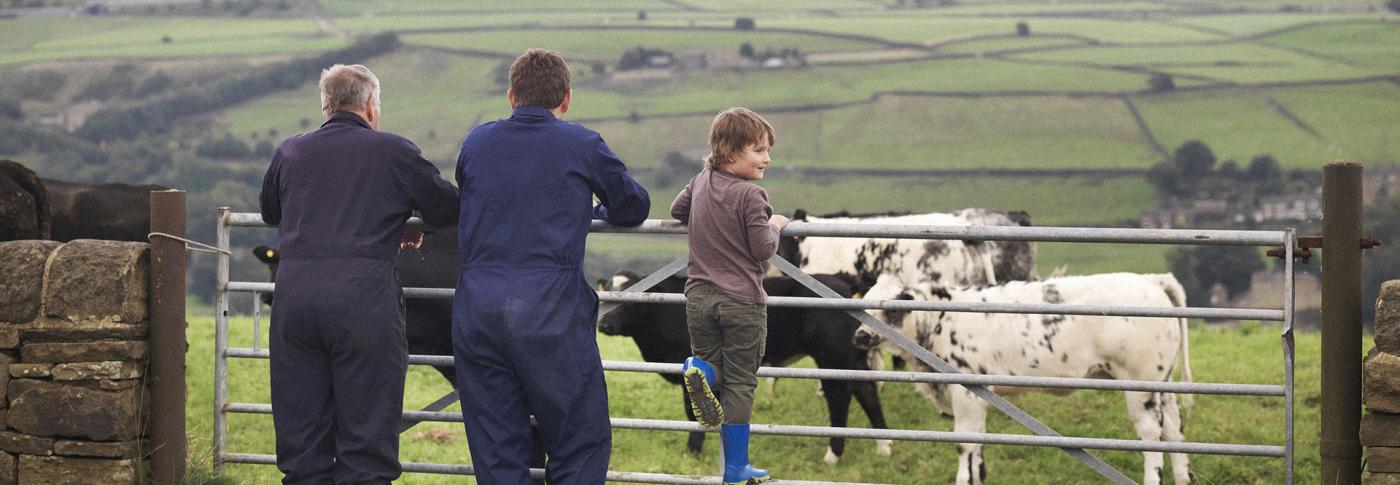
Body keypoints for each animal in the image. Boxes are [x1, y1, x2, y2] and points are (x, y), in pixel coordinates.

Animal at [596, 270, 890, 465]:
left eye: (631, 297)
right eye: (606, 293)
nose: (604, 324)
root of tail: (839, 280)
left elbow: (692, 412)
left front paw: (693, 450)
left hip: (831, 357)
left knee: (840, 396)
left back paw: (834, 453)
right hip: (847, 356)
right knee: (866, 390)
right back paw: (883, 445)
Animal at [851, 273, 1192, 485]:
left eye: (895, 303)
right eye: (865, 298)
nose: (861, 335)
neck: (940, 319)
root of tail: (1151, 279)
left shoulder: (966, 391)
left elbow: (964, 443)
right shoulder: (979, 393)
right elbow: (978, 443)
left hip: (1141, 384)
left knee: (1152, 436)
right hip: (1163, 384)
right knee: (1175, 430)